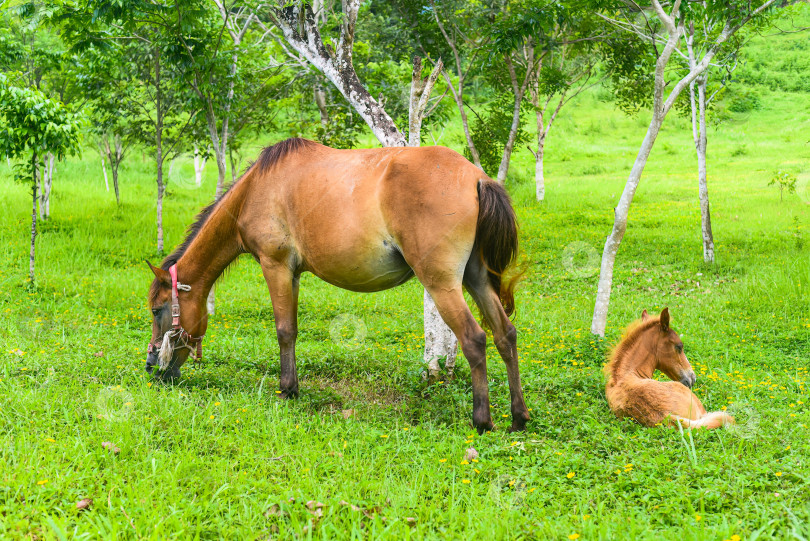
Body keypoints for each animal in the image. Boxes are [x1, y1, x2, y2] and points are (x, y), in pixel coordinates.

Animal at [144, 137, 532, 432]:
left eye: (158, 310)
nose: (151, 367)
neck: (256, 189)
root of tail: (477, 177)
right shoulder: (293, 274)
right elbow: (293, 330)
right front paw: (292, 386)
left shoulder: (276, 266)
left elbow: (283, 330)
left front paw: (286, 390)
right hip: (475, 279)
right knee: (505, 335)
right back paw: (518, 417)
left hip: (443, 284)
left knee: (474, 339)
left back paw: (482, 421)